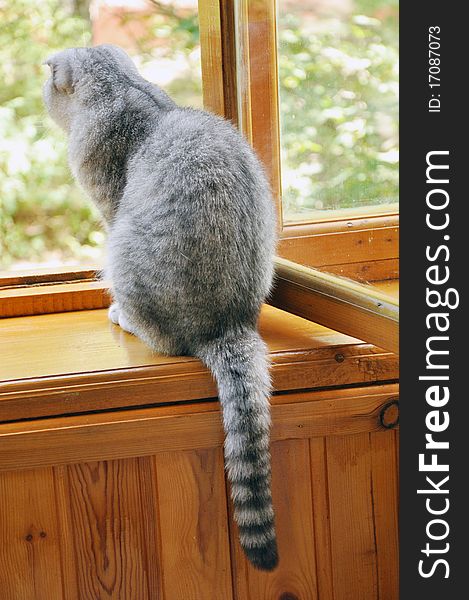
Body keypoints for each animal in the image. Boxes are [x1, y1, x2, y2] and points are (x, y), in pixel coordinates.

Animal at [43, 44, 278, 568]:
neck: (125, 87)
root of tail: (228, 326)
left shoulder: (108, 200)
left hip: (123, 253)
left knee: (160, 337)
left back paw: (124, 317)